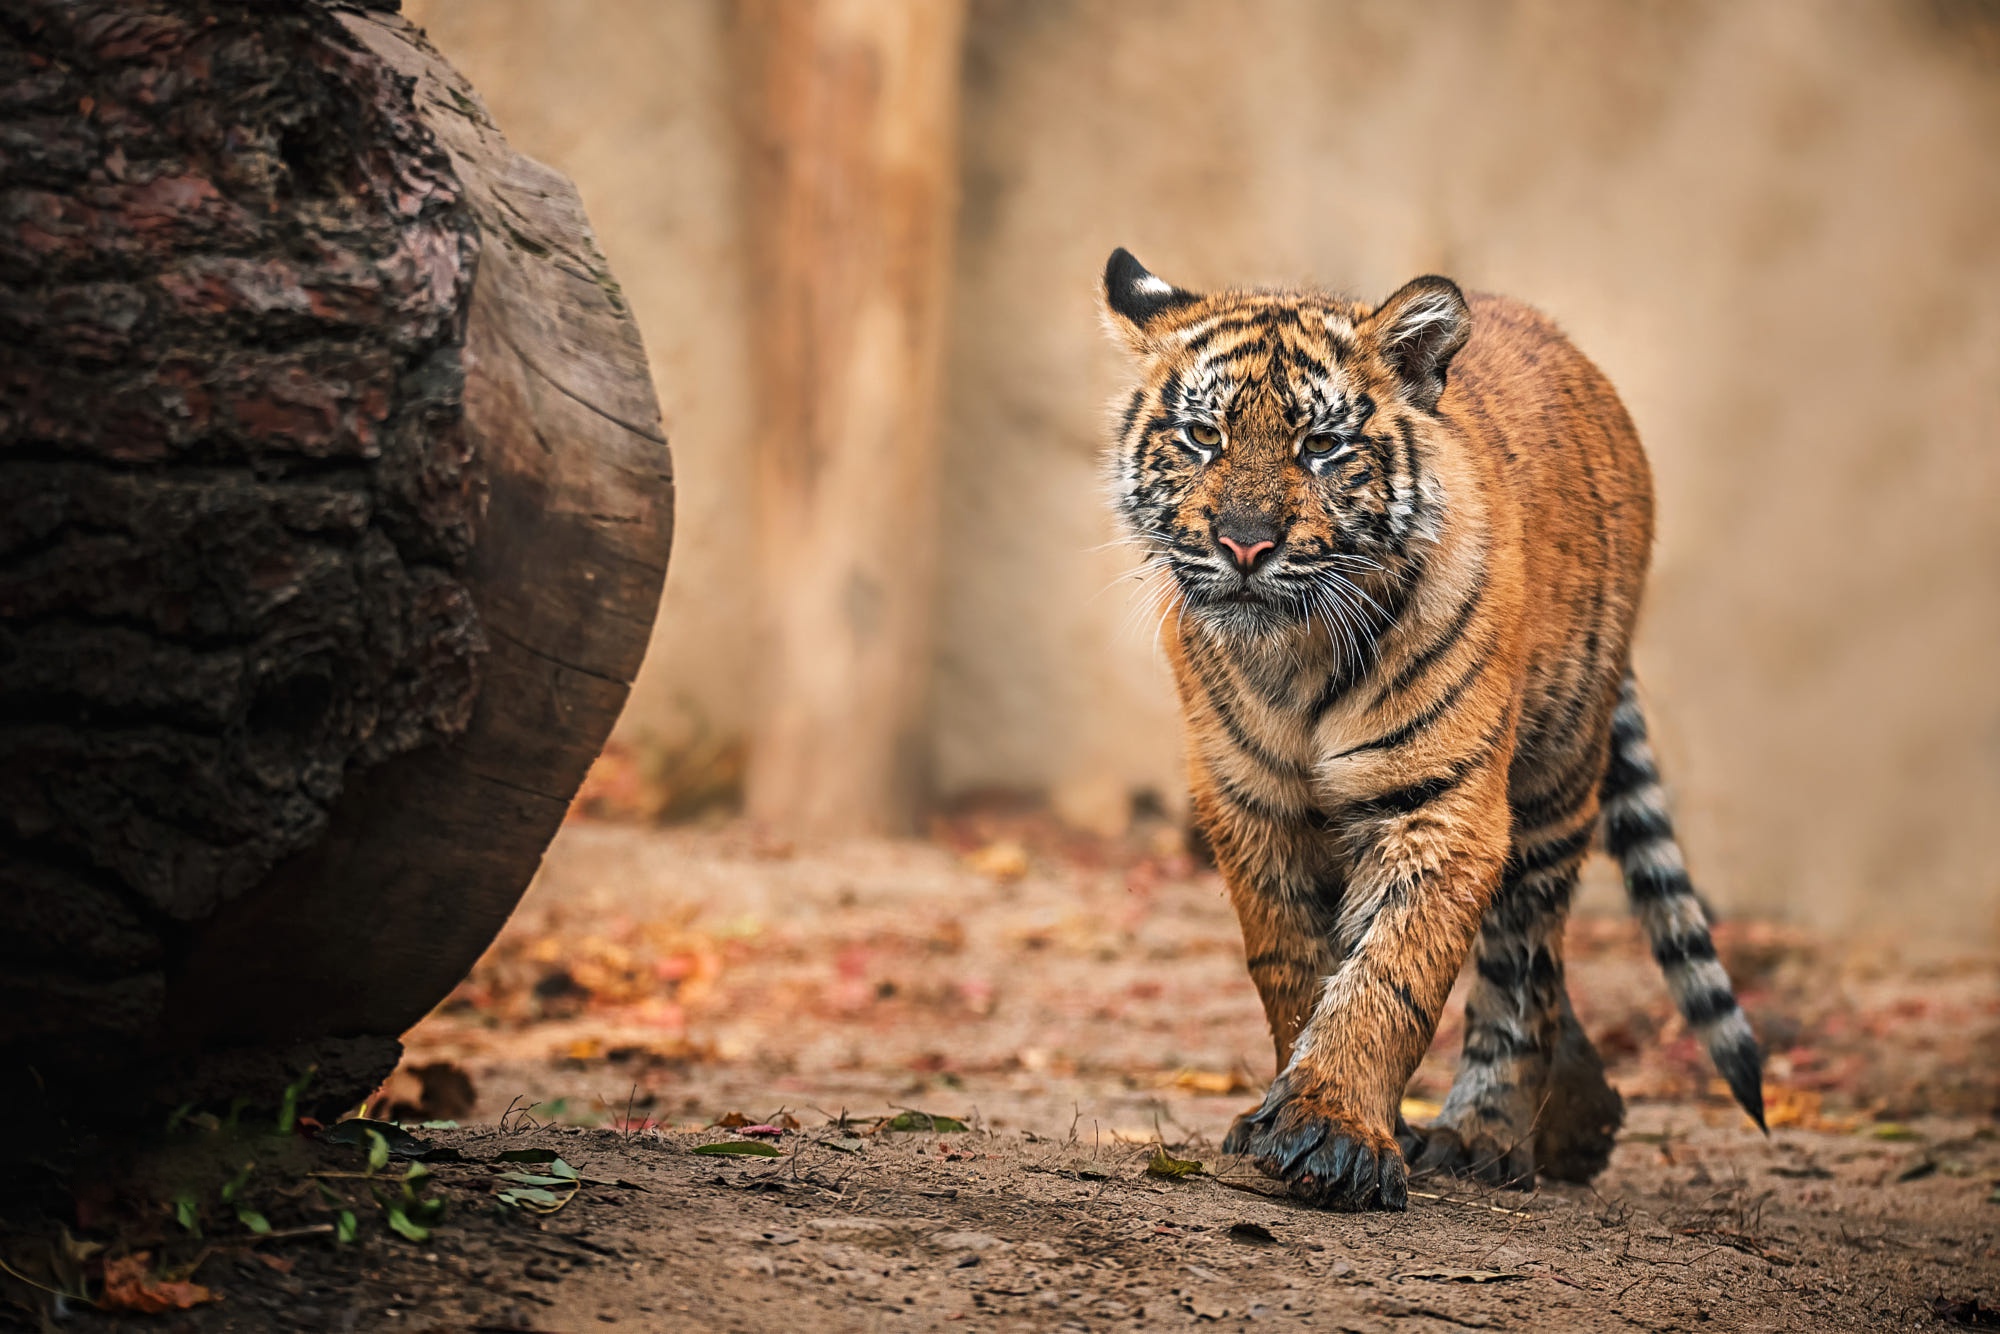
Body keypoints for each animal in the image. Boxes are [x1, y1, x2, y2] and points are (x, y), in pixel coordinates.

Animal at [1096, 248, 1768, 1208]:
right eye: (1203, 437)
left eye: (1322, 445)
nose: (1245, 544)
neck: (1295, 656)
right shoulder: (1252, 804)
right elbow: (1295, 969)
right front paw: (1290, 1112)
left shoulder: (1441, 806)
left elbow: (1389, 975)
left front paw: (1332, 1128)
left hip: (1556, 783)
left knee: (1526, 972)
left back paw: (1487, 1135)